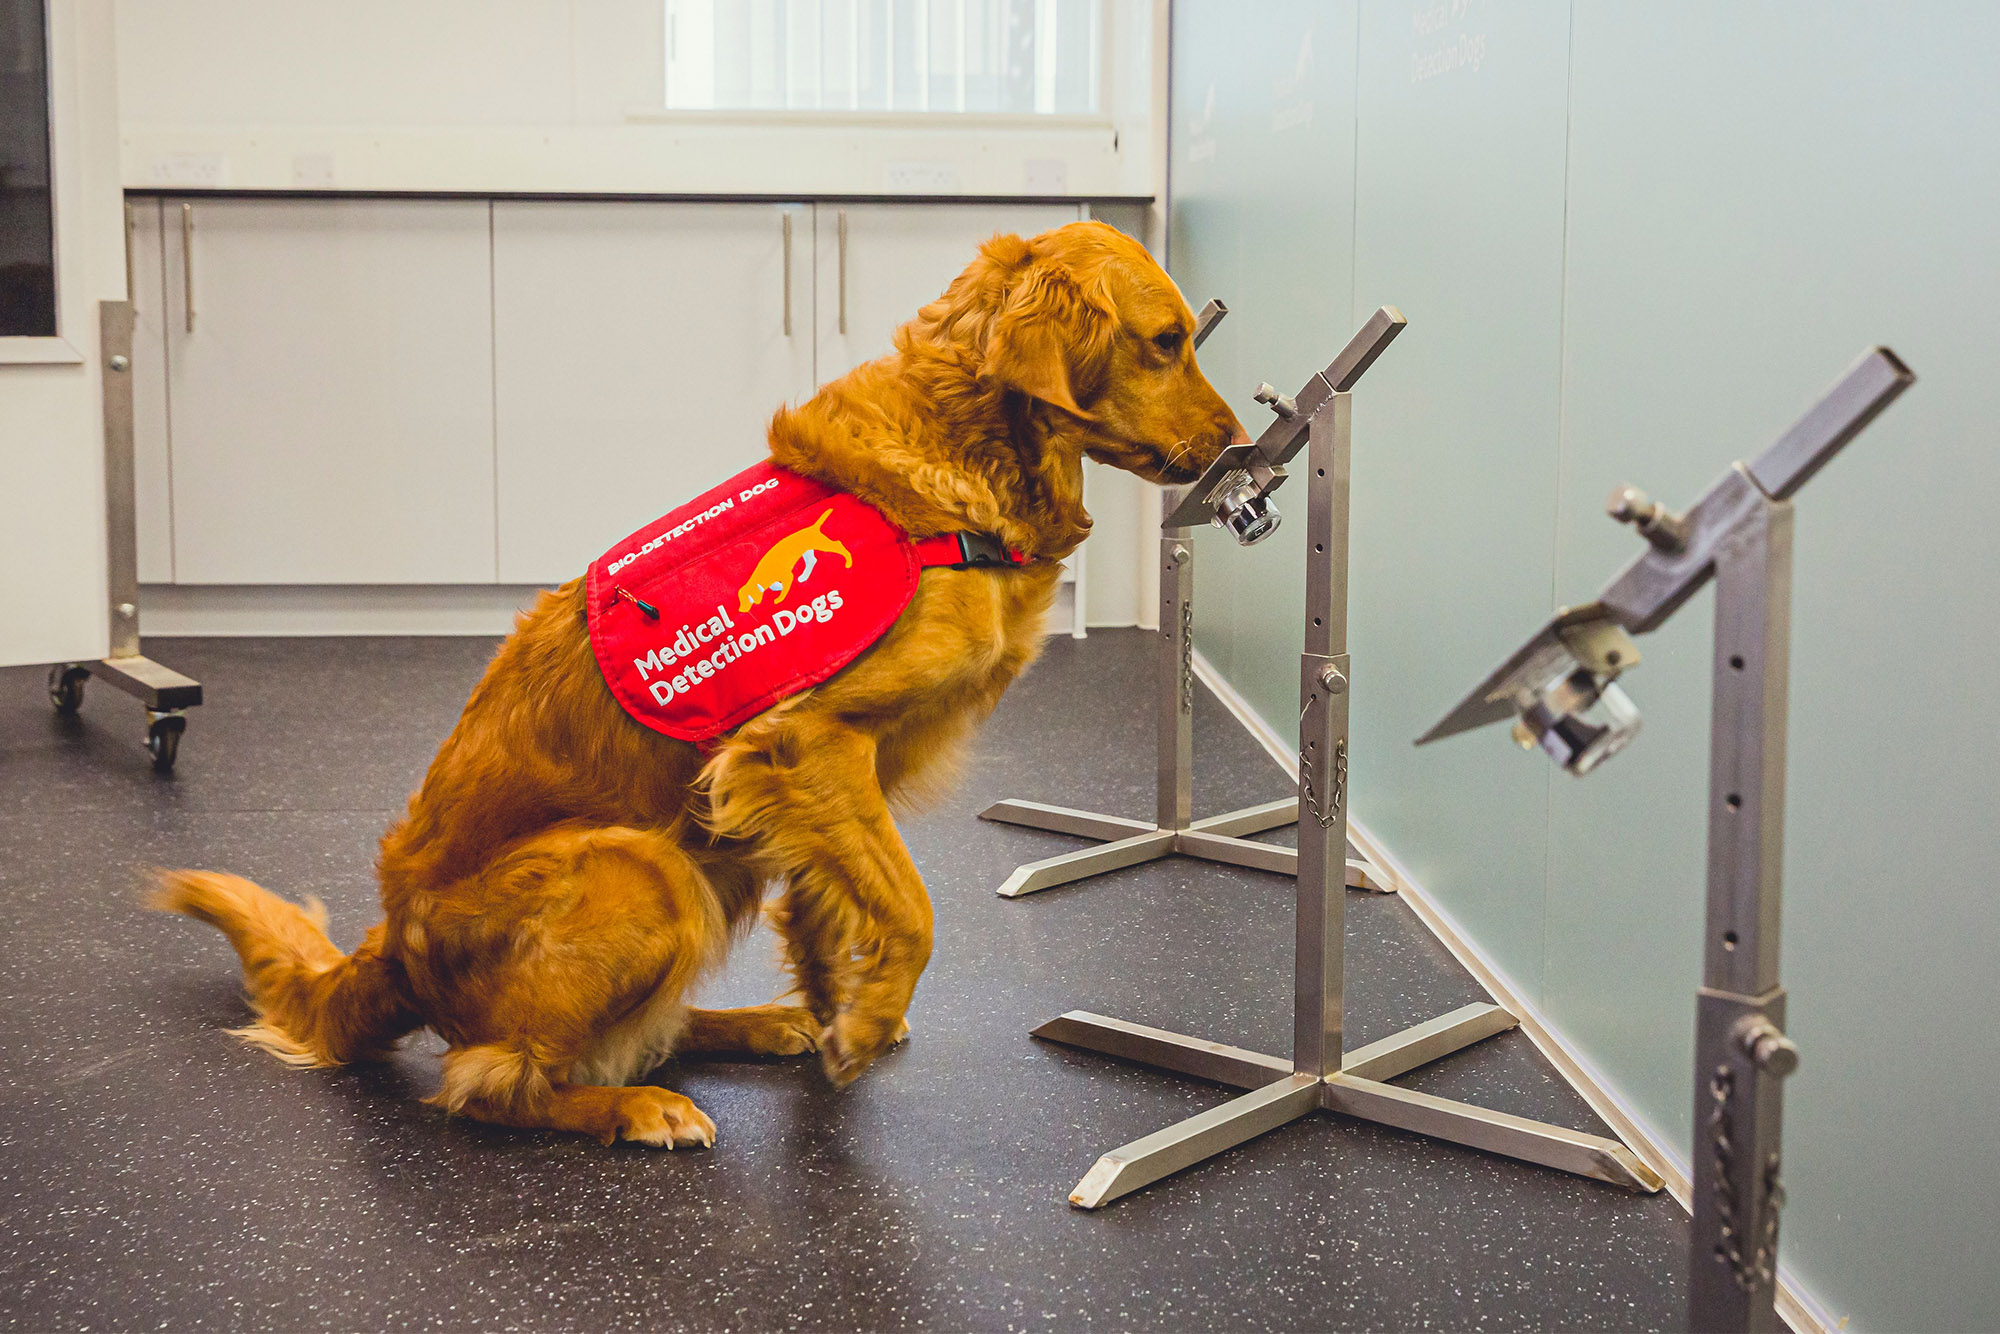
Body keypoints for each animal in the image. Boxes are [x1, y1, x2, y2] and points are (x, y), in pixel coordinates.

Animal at [156, 222, 1240, 1152]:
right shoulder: (805, 742)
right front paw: (867, 1023)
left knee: (646, 1027)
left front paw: (837, 1012)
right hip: (642, 868)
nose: (1235, 446)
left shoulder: (808, 784)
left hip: (712, 851)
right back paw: (635, 1107)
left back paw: (754, 1025)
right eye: (1166, 342)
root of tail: (389, 946)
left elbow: (829, 911)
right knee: (489, 1081)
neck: (963, 460)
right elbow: (913, 907)